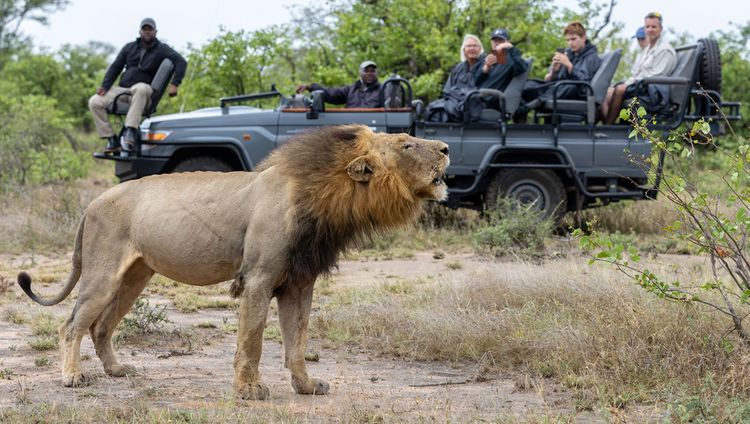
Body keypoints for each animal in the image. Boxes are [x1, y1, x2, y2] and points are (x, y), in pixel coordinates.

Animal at [17, 123, 450, 400]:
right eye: (407, 145)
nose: (446, 149)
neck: (325, 197)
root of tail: (92, 202)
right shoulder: (258, 278)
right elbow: (253, 340)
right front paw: (249, 390)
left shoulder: (299, 283)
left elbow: (297, 342)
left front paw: (307, 387)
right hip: (103, 273)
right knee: (71, 325)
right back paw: (73, 377)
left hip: (136, 277)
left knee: (101, 326)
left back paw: (116, 370)